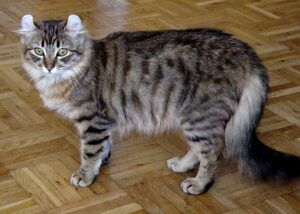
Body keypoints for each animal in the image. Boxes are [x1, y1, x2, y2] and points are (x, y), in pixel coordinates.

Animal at [18, 14, 300, 195]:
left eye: (62, 52)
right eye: (39, 51)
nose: (49, 66)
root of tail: (244, 49)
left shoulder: (93, 120)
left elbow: (89, 152)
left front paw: (86, 175)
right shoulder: (103, 122)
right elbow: (103, 147)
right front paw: (101, 163)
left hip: (199, 116)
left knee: (213, 152)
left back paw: (199, 185)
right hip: (193, 117)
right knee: (201, 149)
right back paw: (182, 165)